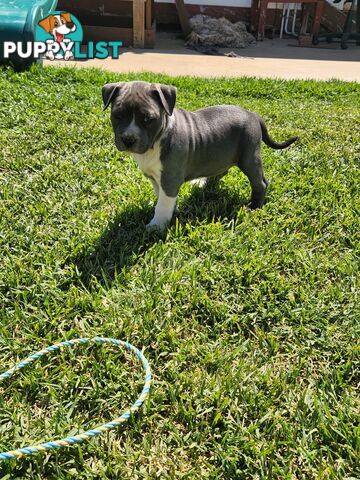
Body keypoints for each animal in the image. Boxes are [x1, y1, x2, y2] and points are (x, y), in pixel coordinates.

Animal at [102, 80, 298, 229]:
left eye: (148, 119)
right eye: (117, 115)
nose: (128, 139)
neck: (155, 142)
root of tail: (253, 115)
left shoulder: (169, 178)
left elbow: (164, 204)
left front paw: (157, 225)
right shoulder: (155, 177)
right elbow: (161, 198)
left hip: (249, 157)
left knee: (260, 183)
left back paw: (254, 207)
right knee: (222, 170)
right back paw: (203, 183)